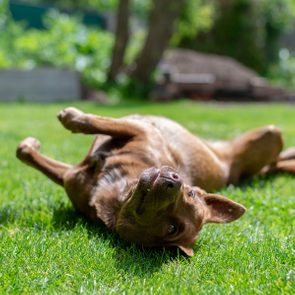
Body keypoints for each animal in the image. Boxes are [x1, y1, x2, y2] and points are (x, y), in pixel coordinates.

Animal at [16, 108, 295, 256]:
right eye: (191, 194)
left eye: (172, 228)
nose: (174, 180)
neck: (119, 190)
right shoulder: (75, 174)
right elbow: (24, 152)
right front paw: (33, 143)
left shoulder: (141, 131)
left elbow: (93, 121)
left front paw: (70, 116)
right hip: (266, 136)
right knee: (275, 162)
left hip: (268, 136)